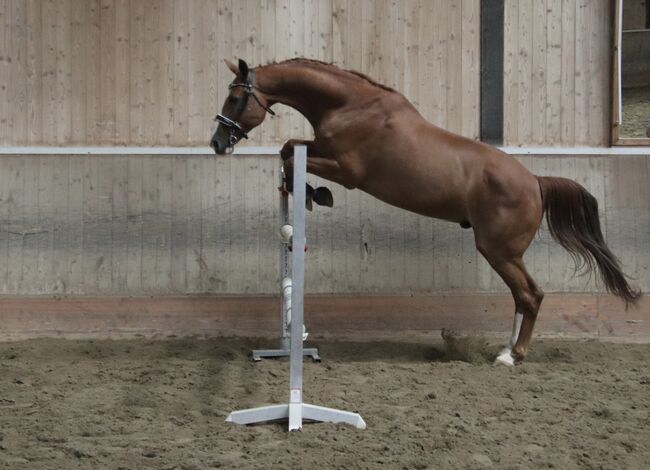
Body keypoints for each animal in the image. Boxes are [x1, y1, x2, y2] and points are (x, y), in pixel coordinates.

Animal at [210, 58, 640, 366]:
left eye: (234, 99)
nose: (217, 143)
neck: (351, 106)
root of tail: (535, 181)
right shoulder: (321, 149)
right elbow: (289, 147)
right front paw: (305, 191)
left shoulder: (347, 171)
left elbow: (289, 154)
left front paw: (313, 193)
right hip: (505, 253)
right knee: (522, 298)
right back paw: (506, 347)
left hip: (499, 251)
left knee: (530, 295)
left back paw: (512, 356)